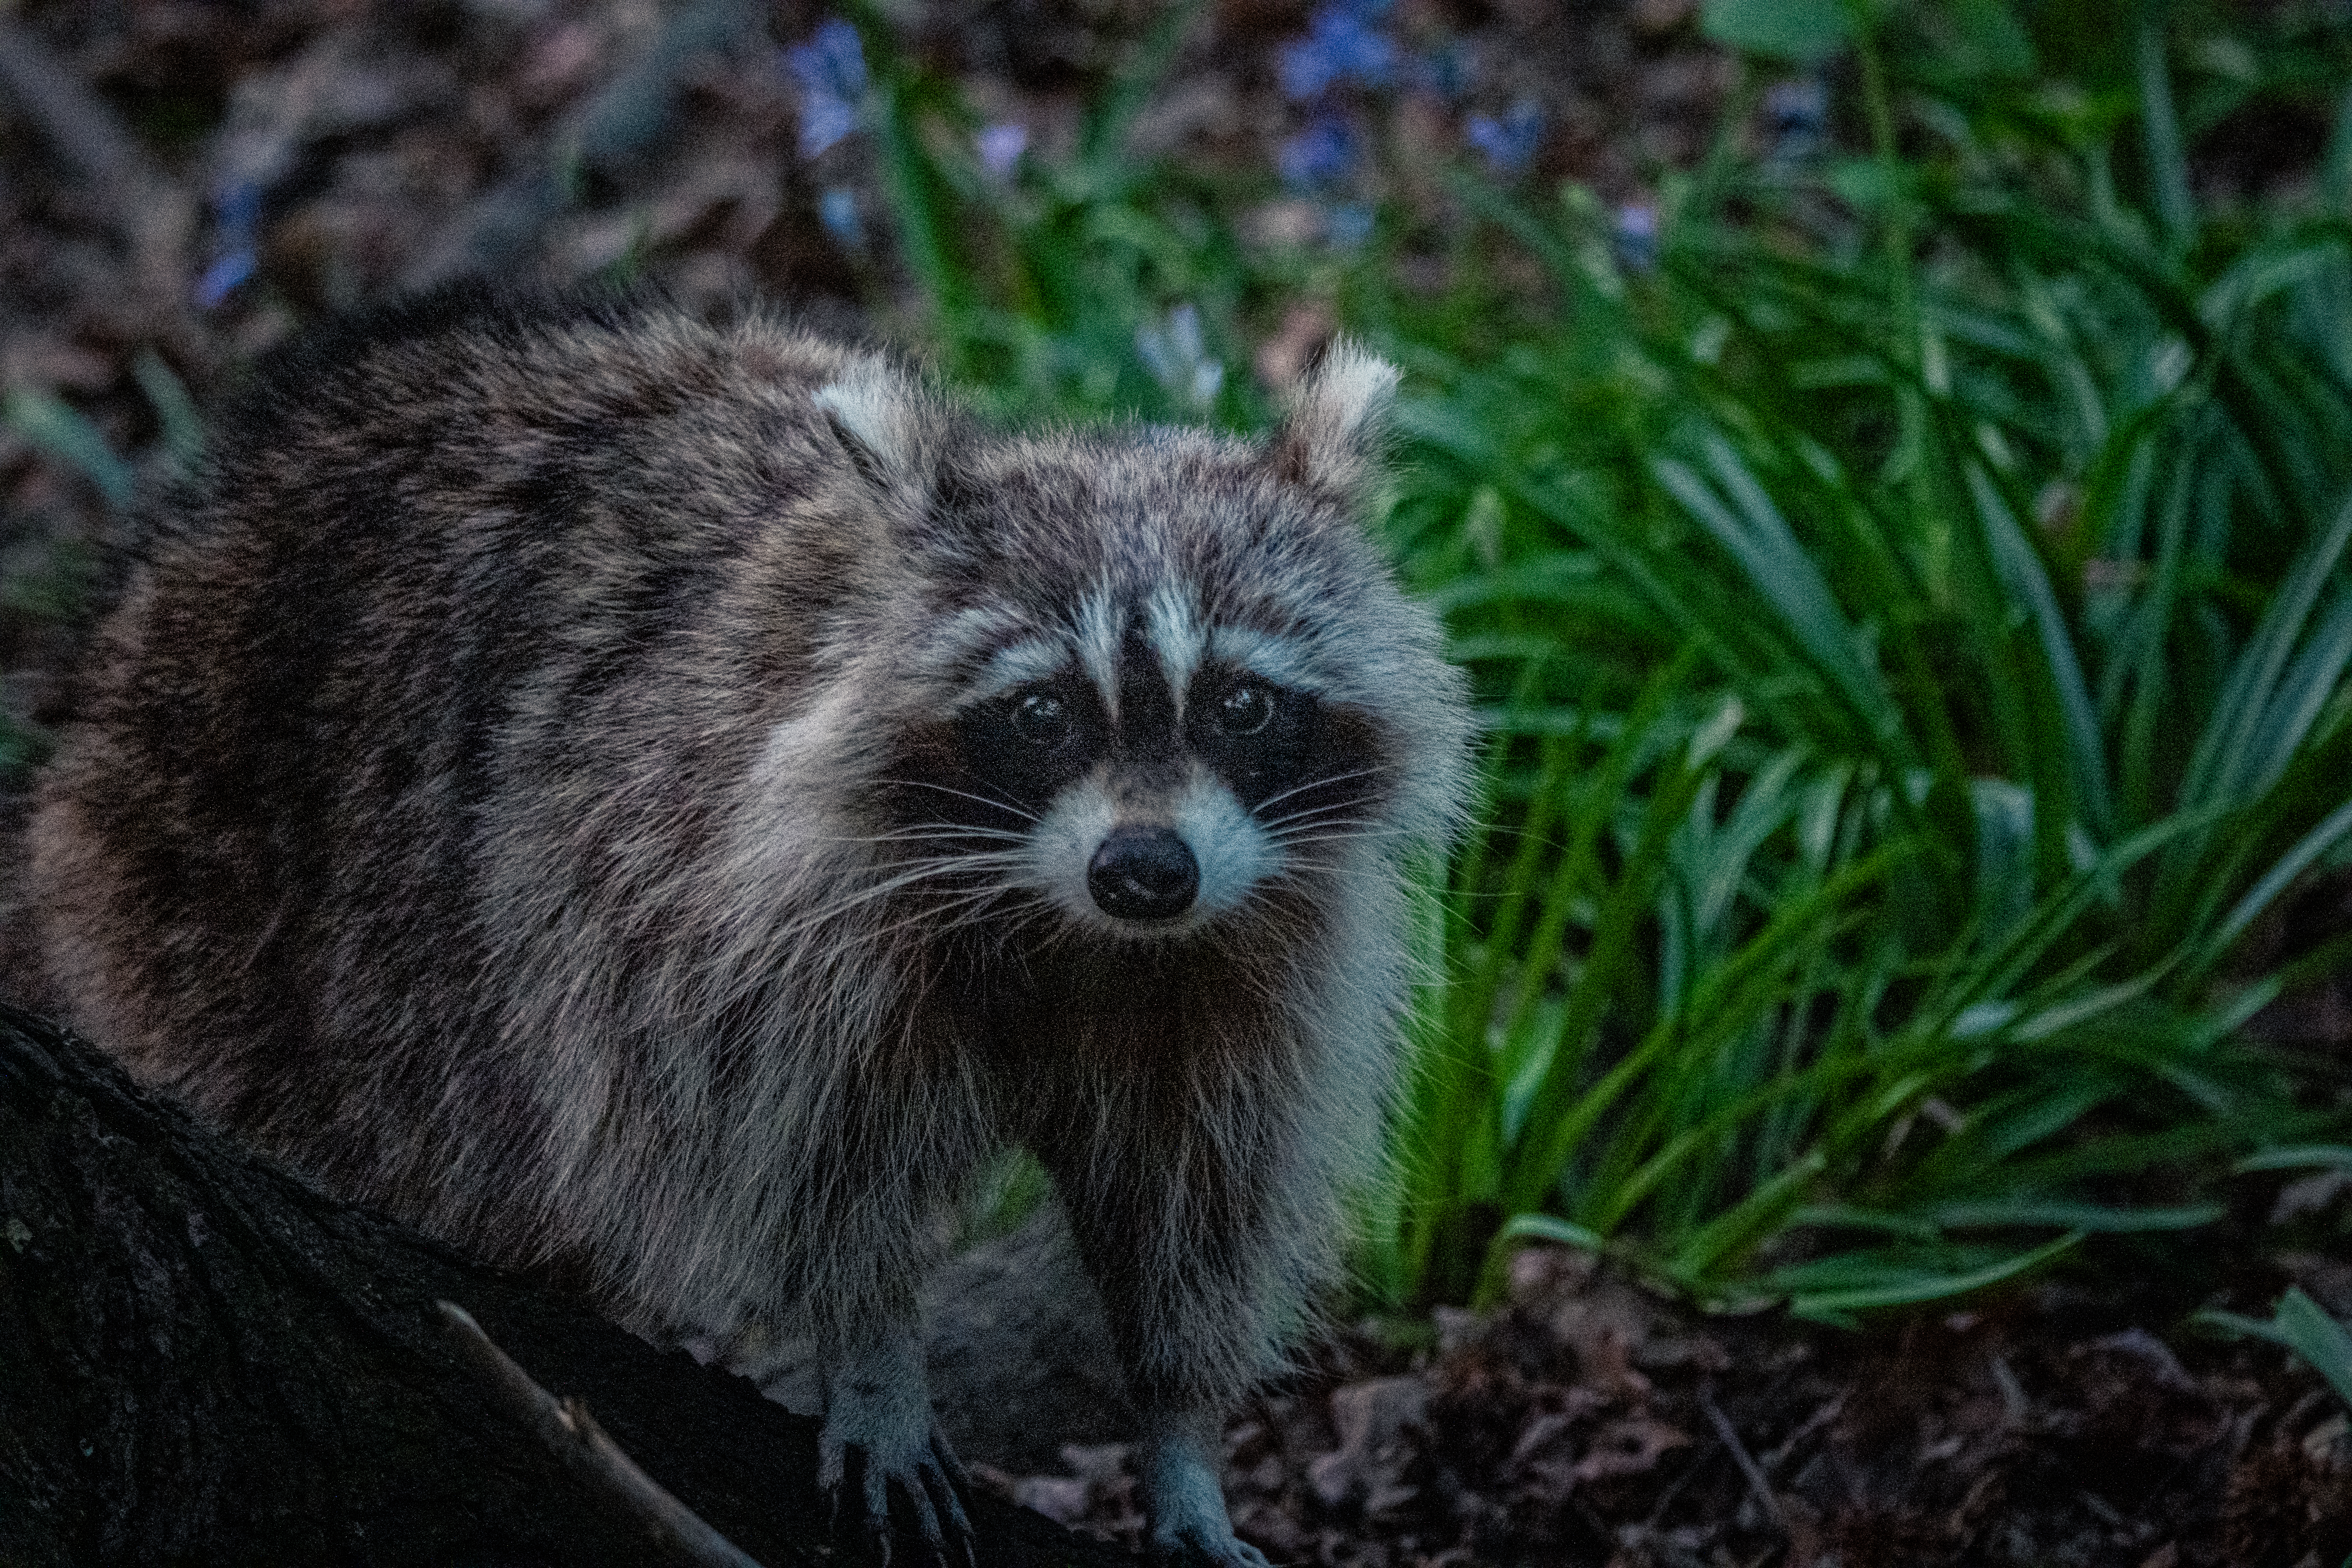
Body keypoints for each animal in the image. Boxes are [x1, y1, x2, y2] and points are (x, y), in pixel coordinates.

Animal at [26, 289, 1473, 1565]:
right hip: (222, 914)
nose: (1145, 870)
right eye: (1040, 711)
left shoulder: (1247, 953)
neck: (1064, 925)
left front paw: (1180, 1428)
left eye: (1240, 701)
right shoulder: (724, 914)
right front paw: (873, 1354)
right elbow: (806, 1159)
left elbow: (1193, 1201)